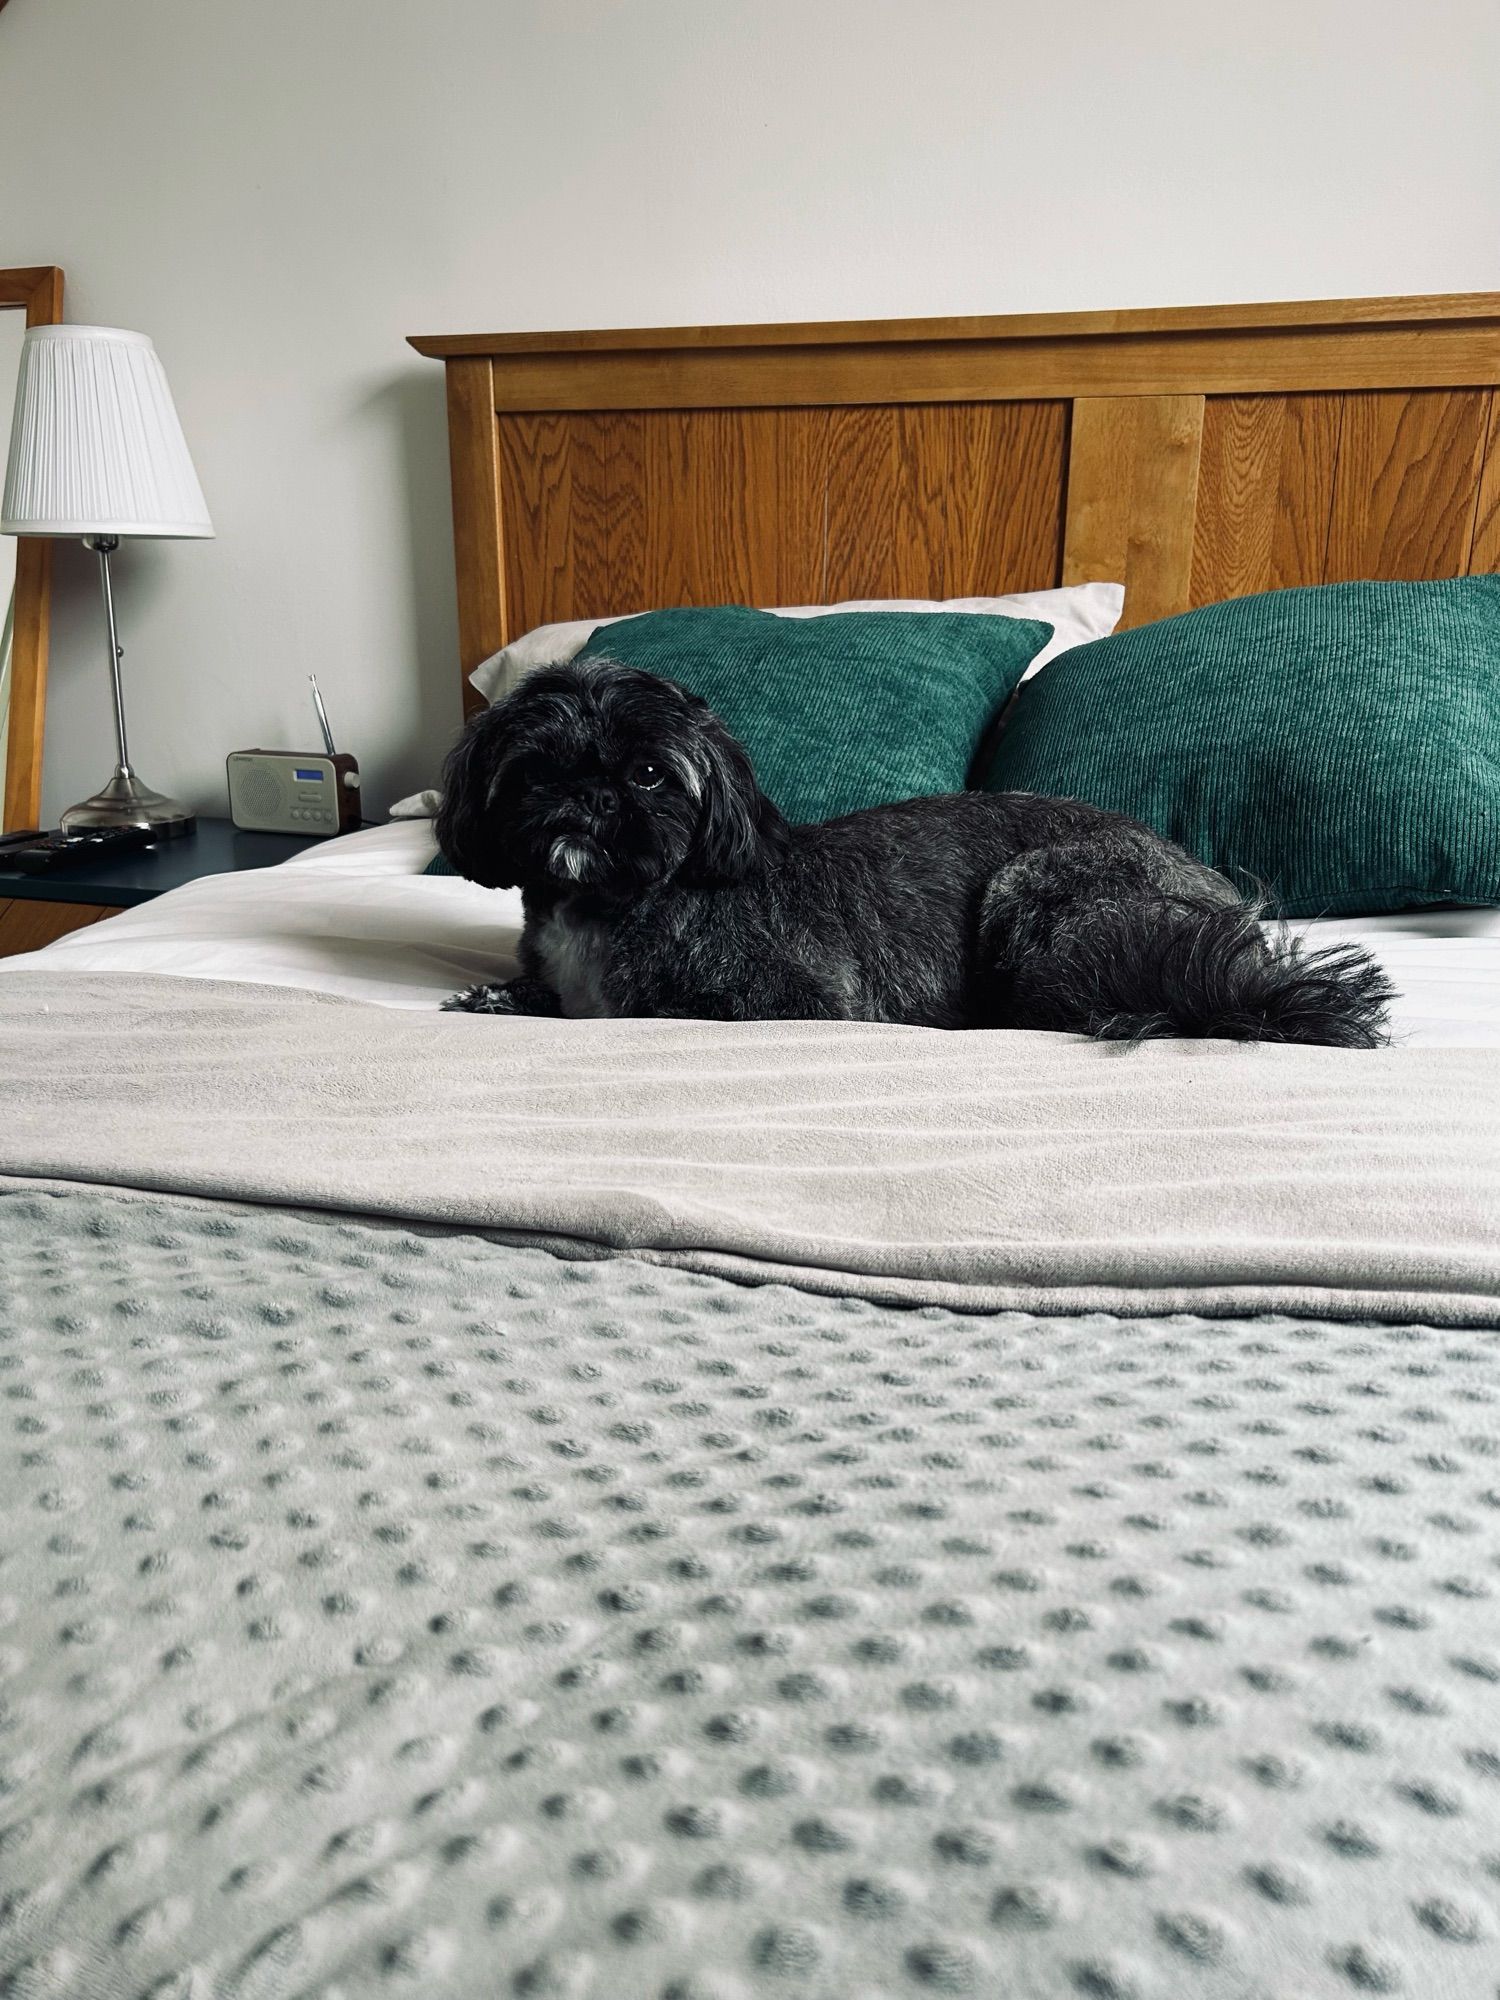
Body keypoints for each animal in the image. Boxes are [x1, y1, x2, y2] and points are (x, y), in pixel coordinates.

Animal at [438, 656, 1400, 1048]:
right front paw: (499, 998)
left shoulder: (800, 1000)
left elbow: (652, 1014)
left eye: (646, 773)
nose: (587, 796)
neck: (609, 907)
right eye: (534, 770)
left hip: (1036, 887)